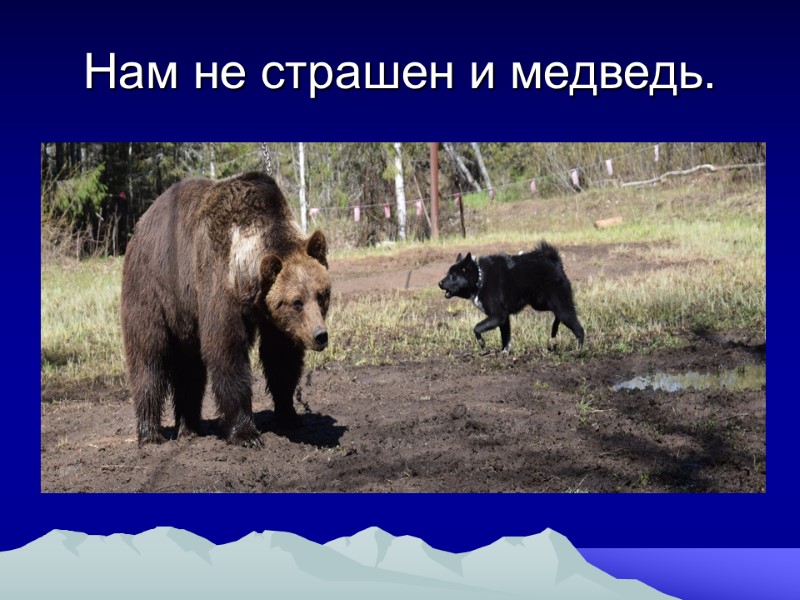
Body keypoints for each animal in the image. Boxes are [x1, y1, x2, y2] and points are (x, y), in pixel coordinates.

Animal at [120, 172, 331, 447]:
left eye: (322, 295)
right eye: (297, 301)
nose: (320, 335)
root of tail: (142, 221)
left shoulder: (274, 319)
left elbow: (281, 359)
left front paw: (289, 416)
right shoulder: (218, 285)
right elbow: (227, 351)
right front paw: (246, 433)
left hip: (186, 317)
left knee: (189, 369)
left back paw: (189, 428)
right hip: (152, 289)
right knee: (148, 358)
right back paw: (150, 434)